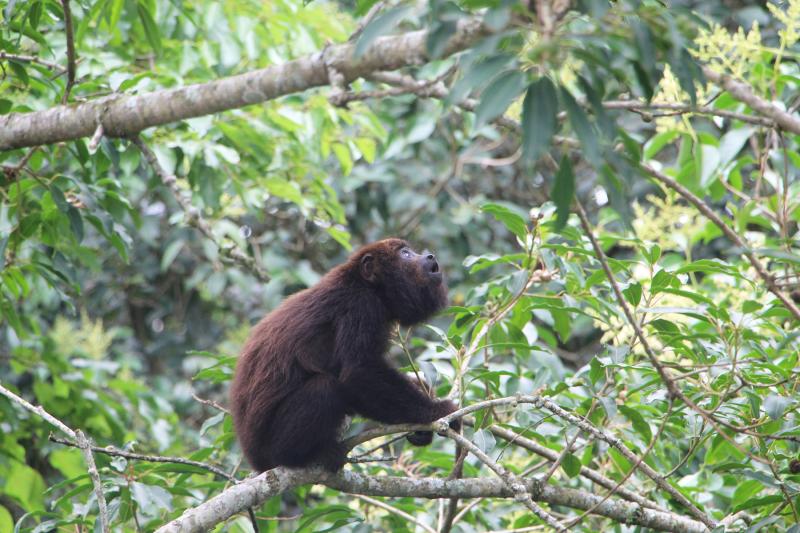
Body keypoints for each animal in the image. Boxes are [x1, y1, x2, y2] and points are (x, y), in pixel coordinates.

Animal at [230, 238, 460, 472]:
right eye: (405, 254)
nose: (429, 256)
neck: (369, 286)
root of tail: (254, 459)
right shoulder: (361, 305)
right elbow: (359, 373)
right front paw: (439, 411)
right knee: (324, 387)